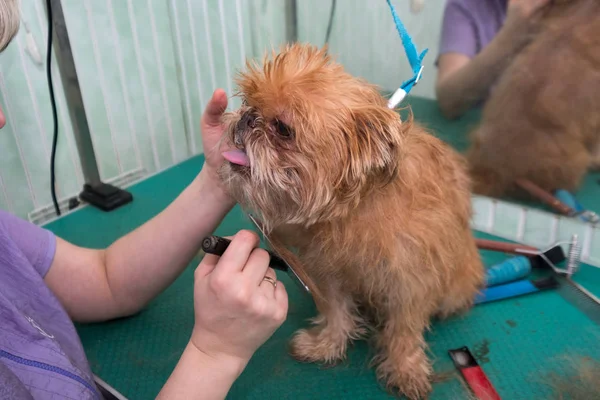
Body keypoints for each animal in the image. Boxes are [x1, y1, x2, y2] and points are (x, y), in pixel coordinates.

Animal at [218, 42, 486, 398]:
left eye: (283, 129)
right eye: (248, 102)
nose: (248, 117)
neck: (352, 209)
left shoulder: (410, 283)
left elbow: (403, 330)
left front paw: (405, 368)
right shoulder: (327, 272)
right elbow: (335, 311)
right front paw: (328, 344)